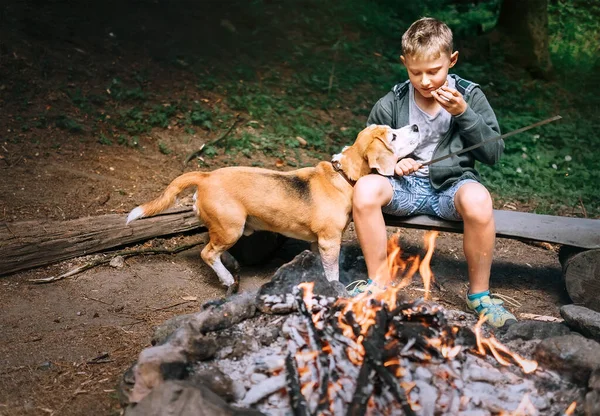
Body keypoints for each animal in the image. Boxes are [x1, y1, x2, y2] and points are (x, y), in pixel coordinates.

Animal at [125, 123, 418, 292]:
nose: (415, 126)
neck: (343, 175)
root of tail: (206, 176)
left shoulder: (317, 242)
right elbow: (333, 272)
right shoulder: (329, 241)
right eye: (393, 135)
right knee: (207, 254)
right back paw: (227, 279)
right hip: (230, 227)